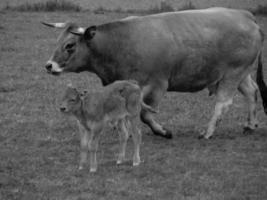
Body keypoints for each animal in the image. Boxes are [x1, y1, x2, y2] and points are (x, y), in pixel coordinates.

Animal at [43, 7, 266, 139]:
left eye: (70, 45)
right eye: (58, 42)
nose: (49, 65)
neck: (119, 42)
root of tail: (245, 15)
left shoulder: (156, 85)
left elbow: (145, 114)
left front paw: (162, 131)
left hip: (232, 73)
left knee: (223, 103)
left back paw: (208, 132)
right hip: (241, 73)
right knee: (251, 92)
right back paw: (250, 124)